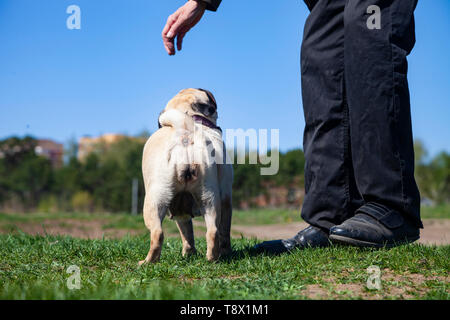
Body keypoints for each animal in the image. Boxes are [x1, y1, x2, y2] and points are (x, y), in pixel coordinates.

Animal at [140, 89, 232, 264]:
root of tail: (185, 135)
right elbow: (189, 234)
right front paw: (190, 254)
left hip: (155, 201)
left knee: (157, 233)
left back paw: (147, 262)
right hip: (209, 199)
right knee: (213, 231)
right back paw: (212, 258)